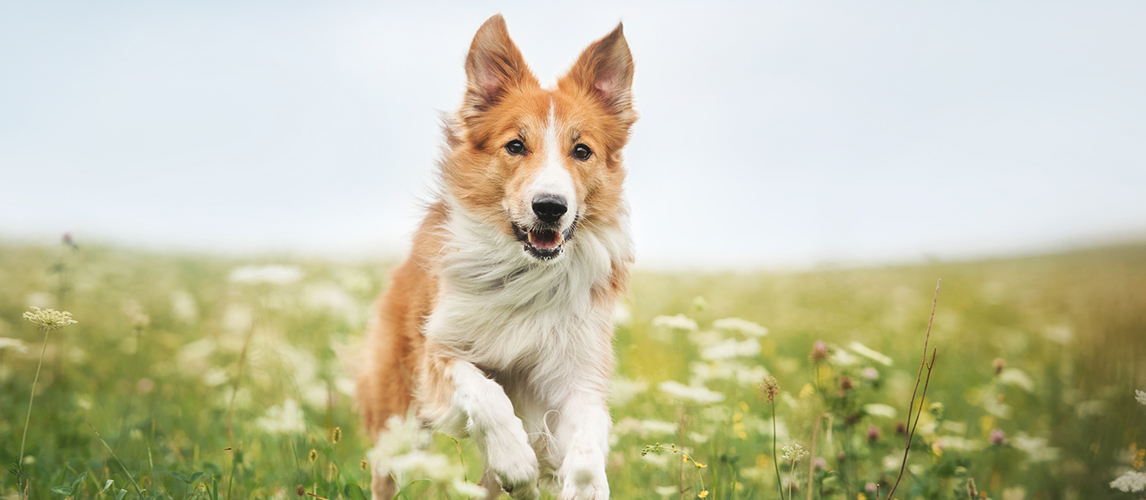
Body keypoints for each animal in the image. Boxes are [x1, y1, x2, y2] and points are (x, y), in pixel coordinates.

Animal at [355, 14, 637, 499]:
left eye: (582, 150)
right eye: (515, 146)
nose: (550, 207)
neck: (525, 273)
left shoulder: (577, 373)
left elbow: (586, 447)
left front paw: (580, 485)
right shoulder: (439, 353)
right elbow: (486, 393)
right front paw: (516, 459)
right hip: (397, 416)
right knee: (387, 473)